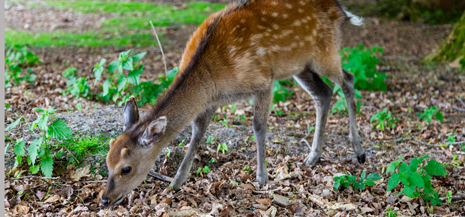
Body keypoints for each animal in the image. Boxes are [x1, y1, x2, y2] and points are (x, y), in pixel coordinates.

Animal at [100, 0, 366, 207]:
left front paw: (262, 178)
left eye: (126, 168)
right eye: (107, 161)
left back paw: (359, 151)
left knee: (348, 80)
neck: (213, 78)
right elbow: (197, 133)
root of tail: (341, 10)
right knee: (324, 93)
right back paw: (313, 157)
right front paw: (177, 182)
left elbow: (258, 126)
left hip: (325, 50)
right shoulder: (211, 100)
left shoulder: (263, 81)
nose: (104, 199)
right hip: (300, 64)